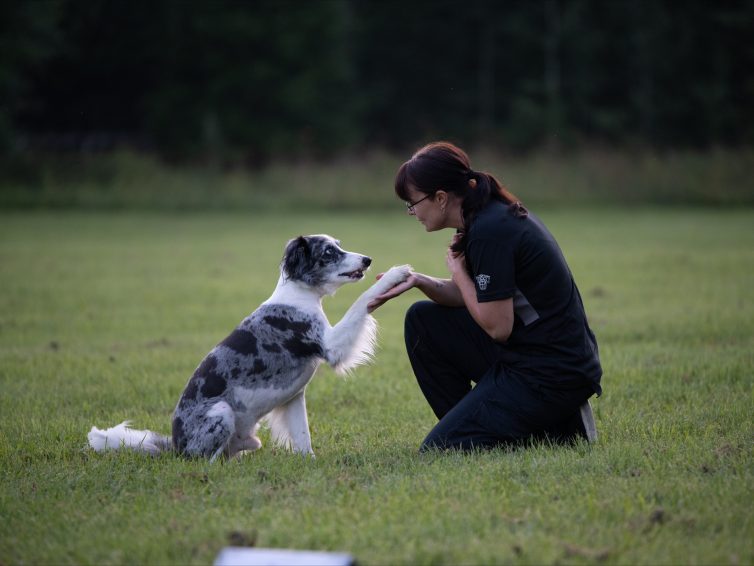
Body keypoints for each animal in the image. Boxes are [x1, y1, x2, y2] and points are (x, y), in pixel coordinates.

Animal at [88, 235, 412, 462]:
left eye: (340, 247)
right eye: (329, 252)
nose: (367, 260)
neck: (299, 297)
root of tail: (176, 447)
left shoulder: (293, 397)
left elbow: (303, 437)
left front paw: (310, 461)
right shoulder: (331, 345)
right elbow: (363, 300)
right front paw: (396, 273)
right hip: (220, 412)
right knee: (205, 461)